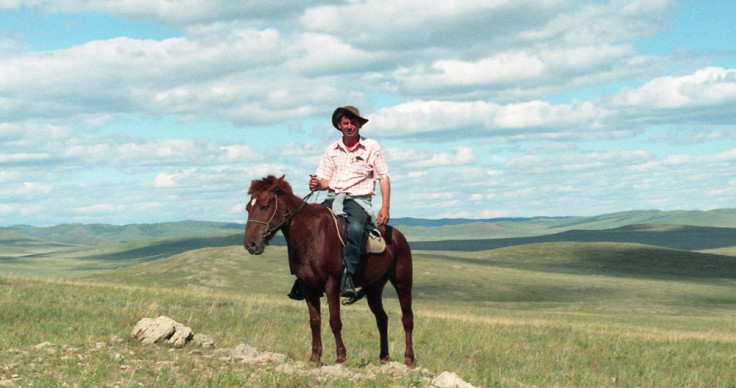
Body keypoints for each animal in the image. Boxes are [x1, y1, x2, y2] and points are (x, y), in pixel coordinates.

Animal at [242, 176, 414, 366]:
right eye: (248, 208)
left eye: (265, 206)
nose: (250, 244)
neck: (310, 235)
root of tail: (398, 236)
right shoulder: (307, 286)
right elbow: (315, 321)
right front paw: (315, 357)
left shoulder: (332, 283)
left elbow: (335, 321)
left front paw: (340, 356)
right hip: (374, 288)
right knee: (382, 319)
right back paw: (384, 357)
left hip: (402, 282)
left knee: (407, 318)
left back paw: (409, 359)